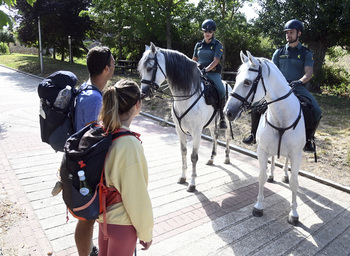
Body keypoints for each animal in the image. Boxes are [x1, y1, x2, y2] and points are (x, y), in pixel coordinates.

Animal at [137, 43, 232, 192]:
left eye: (150, 68)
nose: (144, 93)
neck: (187, 96)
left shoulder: (197, 132)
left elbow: (194, 157)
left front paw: (192, 183)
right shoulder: (179, 130)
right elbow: (183, 152)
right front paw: (182, 177)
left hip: (226, 122)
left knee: (227, 137)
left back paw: (227, 157)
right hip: (211, 124)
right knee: (215, 137)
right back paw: (211, 158)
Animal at [226, 51, 304, 225]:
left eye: (247, 82)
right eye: (236, 79)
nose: (228, 112)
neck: (281, 118)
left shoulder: (296, 155)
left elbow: (295, 183)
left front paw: (294, 213)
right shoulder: (262, 151)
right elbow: (261, 176)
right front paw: (259, 206)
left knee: (286, 164)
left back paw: (284, 175)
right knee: (274, 159)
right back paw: (272, 175)